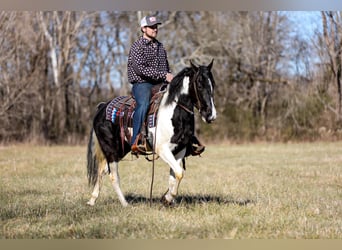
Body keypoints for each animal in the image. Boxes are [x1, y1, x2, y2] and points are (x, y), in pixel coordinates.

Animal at [87, 59, 218, 206]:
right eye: (199, 84)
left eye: (213, 84)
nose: (210, 115)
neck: (174, 112)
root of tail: (102, 107)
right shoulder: (162, 149)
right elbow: (179, 173)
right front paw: (168, 198)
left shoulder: (180, 150)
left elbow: (174, 176)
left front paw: (167, 199)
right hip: (111, 150)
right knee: (113, 176)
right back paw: (125, 204)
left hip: (121, 149)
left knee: (102, 170)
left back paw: (92, 200)